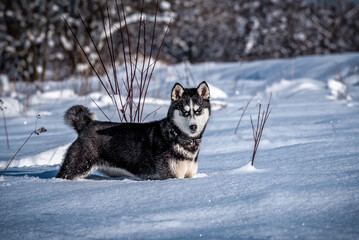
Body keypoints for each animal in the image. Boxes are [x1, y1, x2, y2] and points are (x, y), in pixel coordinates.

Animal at [56, 81, 211, 179]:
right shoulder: (171, 175)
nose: (193, 126)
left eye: (198, 111)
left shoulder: (188, 174)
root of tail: (87, 124)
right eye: (185, 111)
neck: (177, 135)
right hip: (77, 167)